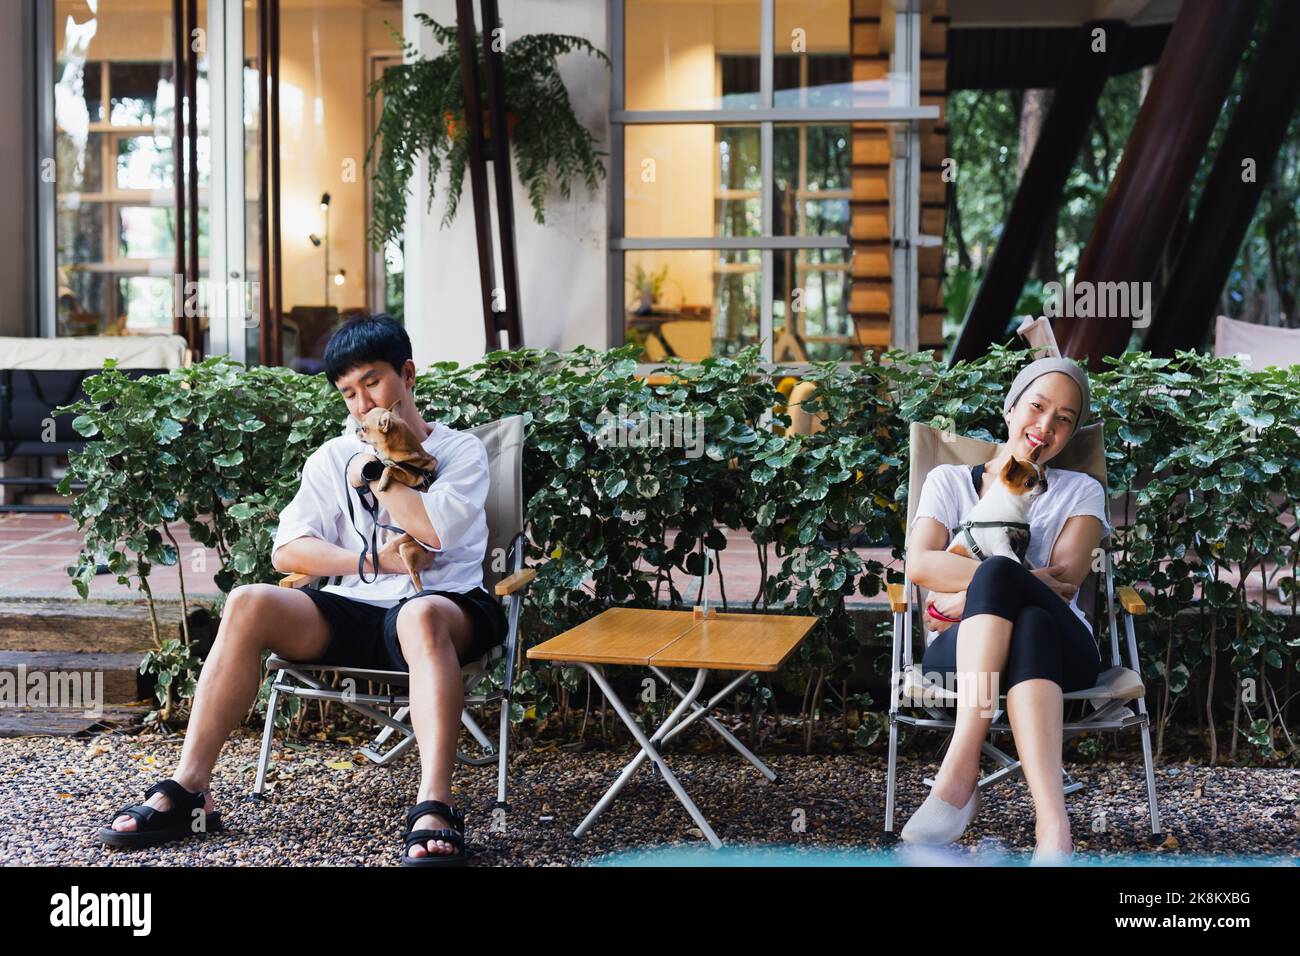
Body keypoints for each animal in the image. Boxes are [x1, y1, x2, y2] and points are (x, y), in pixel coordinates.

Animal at [356, 398, 441, 590]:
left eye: (364, 428)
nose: (356, 429)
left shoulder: (409, 476)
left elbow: (390, 469)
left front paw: (382, 481)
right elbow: (384, 463)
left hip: (405, 549)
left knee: (416, 577)